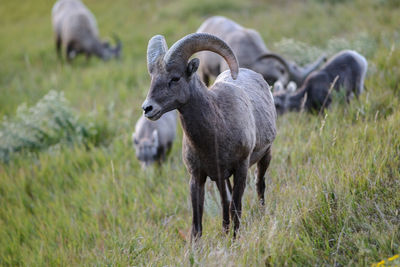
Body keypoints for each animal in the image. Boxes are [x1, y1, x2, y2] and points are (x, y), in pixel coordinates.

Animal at [142, 32, 276, 240]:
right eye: (153, 78)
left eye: (175, 78)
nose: (148, 108)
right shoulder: (198, 177)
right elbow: (197, 225)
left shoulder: (241, 168)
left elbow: (236, 208)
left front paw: (235, 241)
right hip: (221, 179)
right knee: (224, 202)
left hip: (265, 156)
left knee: (259, 185)